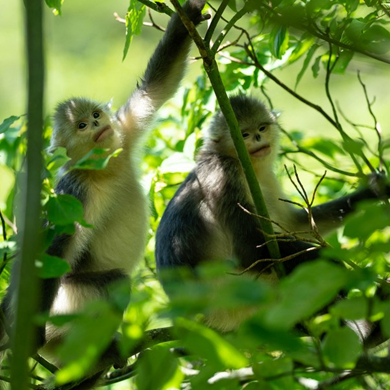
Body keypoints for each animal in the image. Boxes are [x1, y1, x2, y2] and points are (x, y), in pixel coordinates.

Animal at [0, 1, 207, 388]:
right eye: (82, 125)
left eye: (96, 116)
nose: (97, 125)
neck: (104, 171)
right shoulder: (75, 193)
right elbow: (52, 250)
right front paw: (25, 337)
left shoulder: (123, 132)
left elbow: (158, 83)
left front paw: (192, 10)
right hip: (68, 308)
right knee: (113, 281)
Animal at [155, 93, 390, 332]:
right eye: (244, 134)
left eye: (262, 128)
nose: (258, 137)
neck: (241, 164)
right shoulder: (223, 173)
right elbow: (250, 249)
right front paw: (333, 263)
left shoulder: (266, 179)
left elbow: (295, 225)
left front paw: (376, 190)